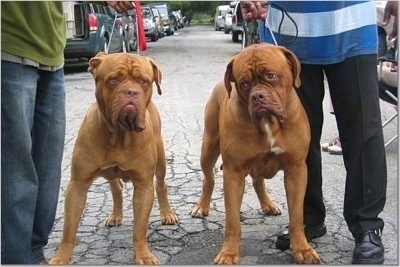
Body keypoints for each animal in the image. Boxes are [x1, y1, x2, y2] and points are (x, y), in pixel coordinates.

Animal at [48, 52, 178, 266]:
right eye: (114, 79)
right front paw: (61, 257)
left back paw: (167, 213)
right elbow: (69, 228)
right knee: (116, 187)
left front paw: (143, 255)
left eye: (143, 81)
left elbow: (140, 227)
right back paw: (116, 215)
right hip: (108, 172)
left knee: (161, 185)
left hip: (161, 162)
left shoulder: (143, 185)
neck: (119, 134)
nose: (131, 92)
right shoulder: (78, 184)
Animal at [190, 43, 318, 264]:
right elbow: (232, 220)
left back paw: (268, 204)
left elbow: (296, 216)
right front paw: (228, 253)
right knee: (208, 178)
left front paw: (302, 249)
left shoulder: (296, 169)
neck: (268, 123)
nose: (257, 96)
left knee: (258, 181)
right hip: (208, 148)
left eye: (271, 75)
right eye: (244, 84)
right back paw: (201, 206)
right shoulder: (233, 172)